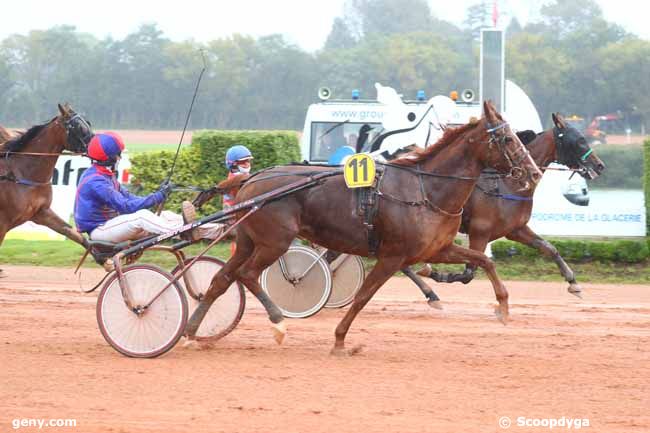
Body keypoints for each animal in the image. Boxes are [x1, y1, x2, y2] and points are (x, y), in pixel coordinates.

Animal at [184, 101, 540, 354]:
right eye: (507, 138)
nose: (534, 172)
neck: (425, 190)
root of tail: (252, 179)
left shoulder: (437, 248)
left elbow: (483, 261)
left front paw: (503, 307)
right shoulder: (392, 256)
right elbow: (363, 296)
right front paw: (341, 340)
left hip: (248, 240)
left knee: (221, 279)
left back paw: (191, 332)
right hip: (275, 242)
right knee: (247, 275)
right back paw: (278, 323)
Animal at [418, 113, 604, 296]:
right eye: (579, 140)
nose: (600, 165)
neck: (508, 185)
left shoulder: (515, 229)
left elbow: (549, 248)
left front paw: (573, 282)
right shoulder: (480, 231)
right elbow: (469, 272)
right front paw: (435, 273)